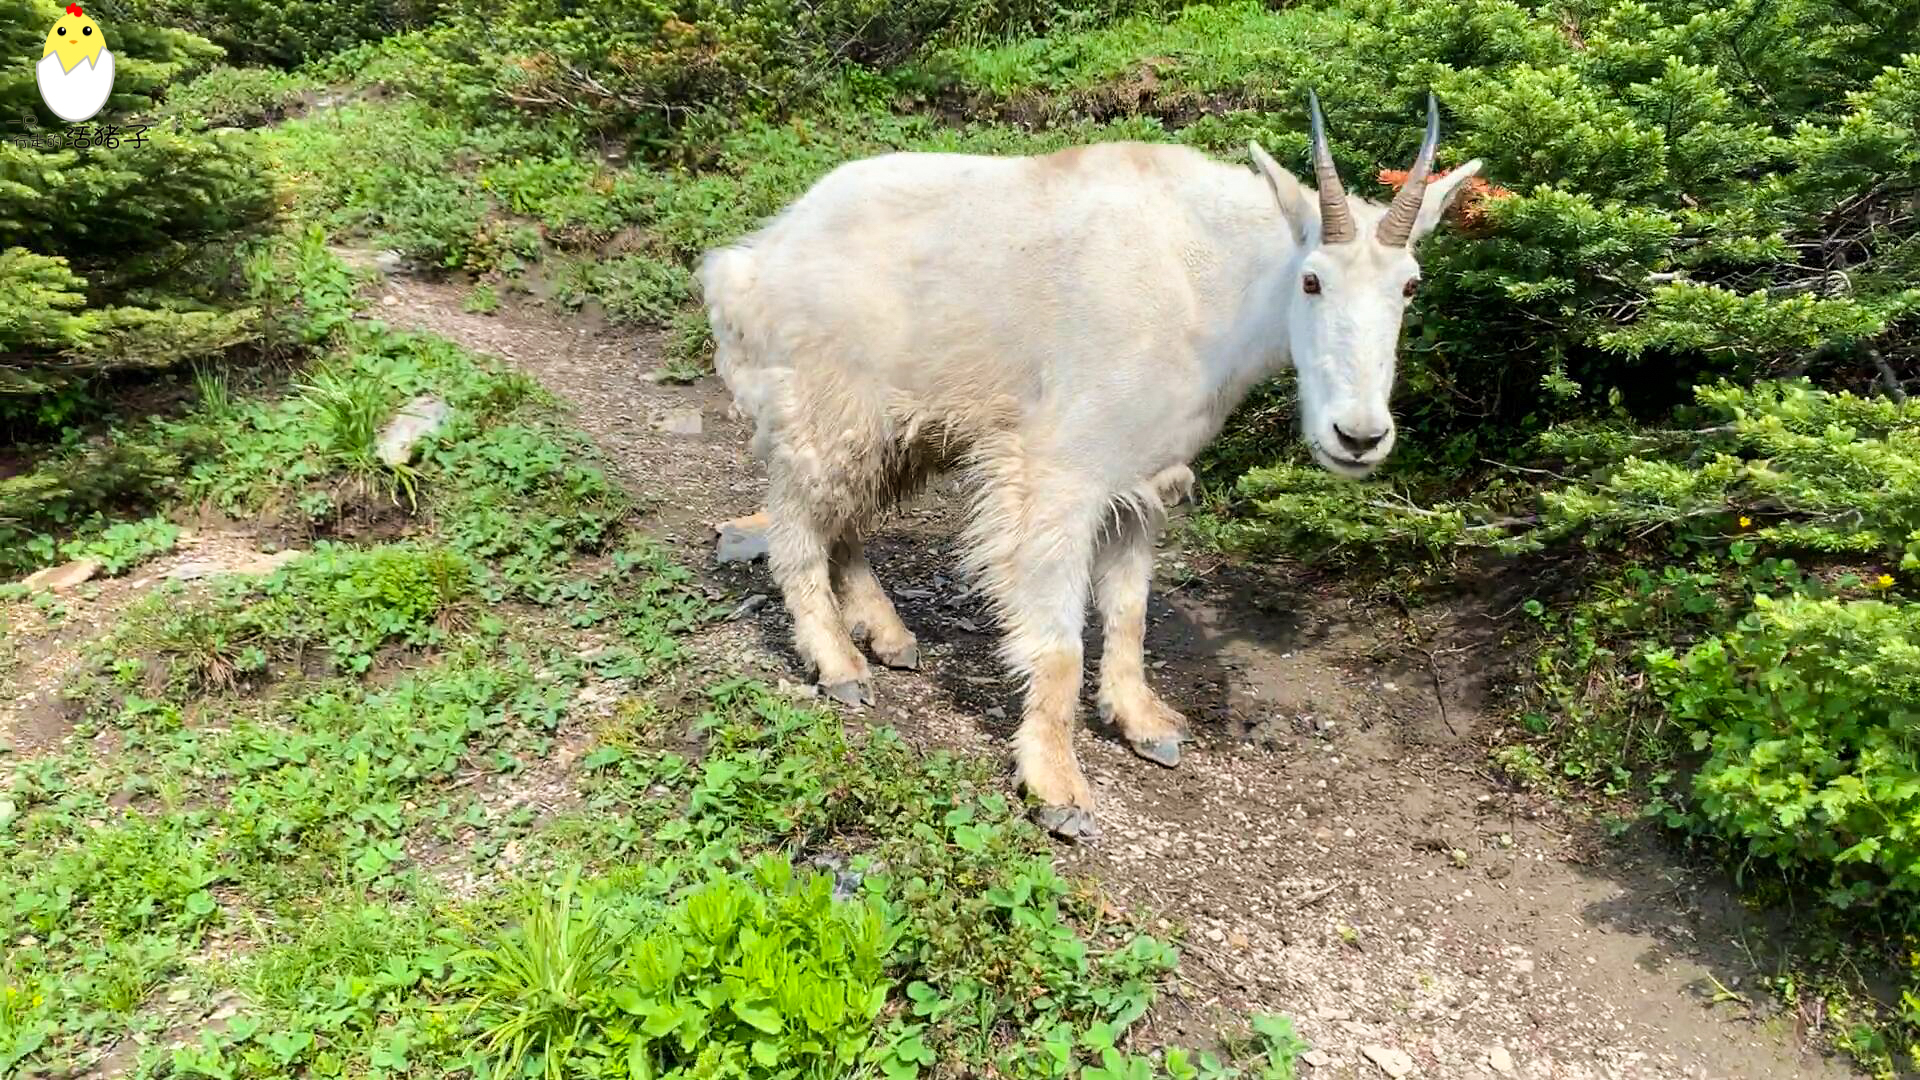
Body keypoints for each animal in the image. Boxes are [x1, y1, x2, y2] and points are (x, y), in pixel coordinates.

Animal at [695, 92, 1482, 837]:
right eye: (1313, 281)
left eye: (1410, 285)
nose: (1359, 436)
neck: (1207, 288)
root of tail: (751, 261)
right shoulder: (1058, 475)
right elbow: (1060, 643)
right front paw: (1056, 786)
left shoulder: (1139, 482)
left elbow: (1129, 612)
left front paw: (1144, 722)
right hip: (829, 412)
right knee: (797, 530)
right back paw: (838, 664)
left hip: (896, 429)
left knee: (846, 524)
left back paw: (887, 635)